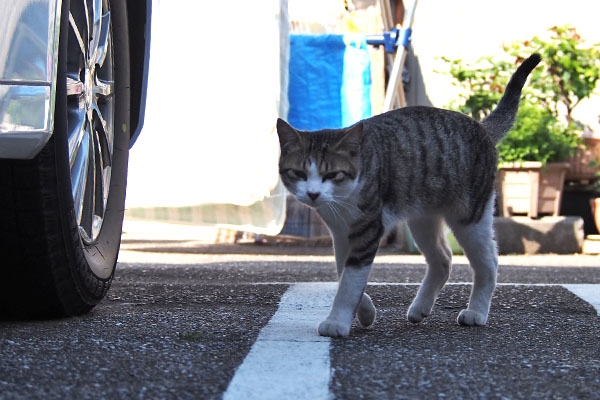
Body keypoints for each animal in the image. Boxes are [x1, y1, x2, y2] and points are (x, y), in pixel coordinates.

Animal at [278, 53, 540, 338]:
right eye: (299, 173)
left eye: (332, 174)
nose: (313, 194)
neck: (343, 202)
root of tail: (481, 128)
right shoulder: (341, 231)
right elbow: (343, 272)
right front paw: (365, 311)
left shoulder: (368, 228)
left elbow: (349, 281)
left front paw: (337, 321)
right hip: (423, 218)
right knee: (443, 260)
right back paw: (420, 309)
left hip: (470, 217)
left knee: (488, 262)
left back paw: (476, 312)